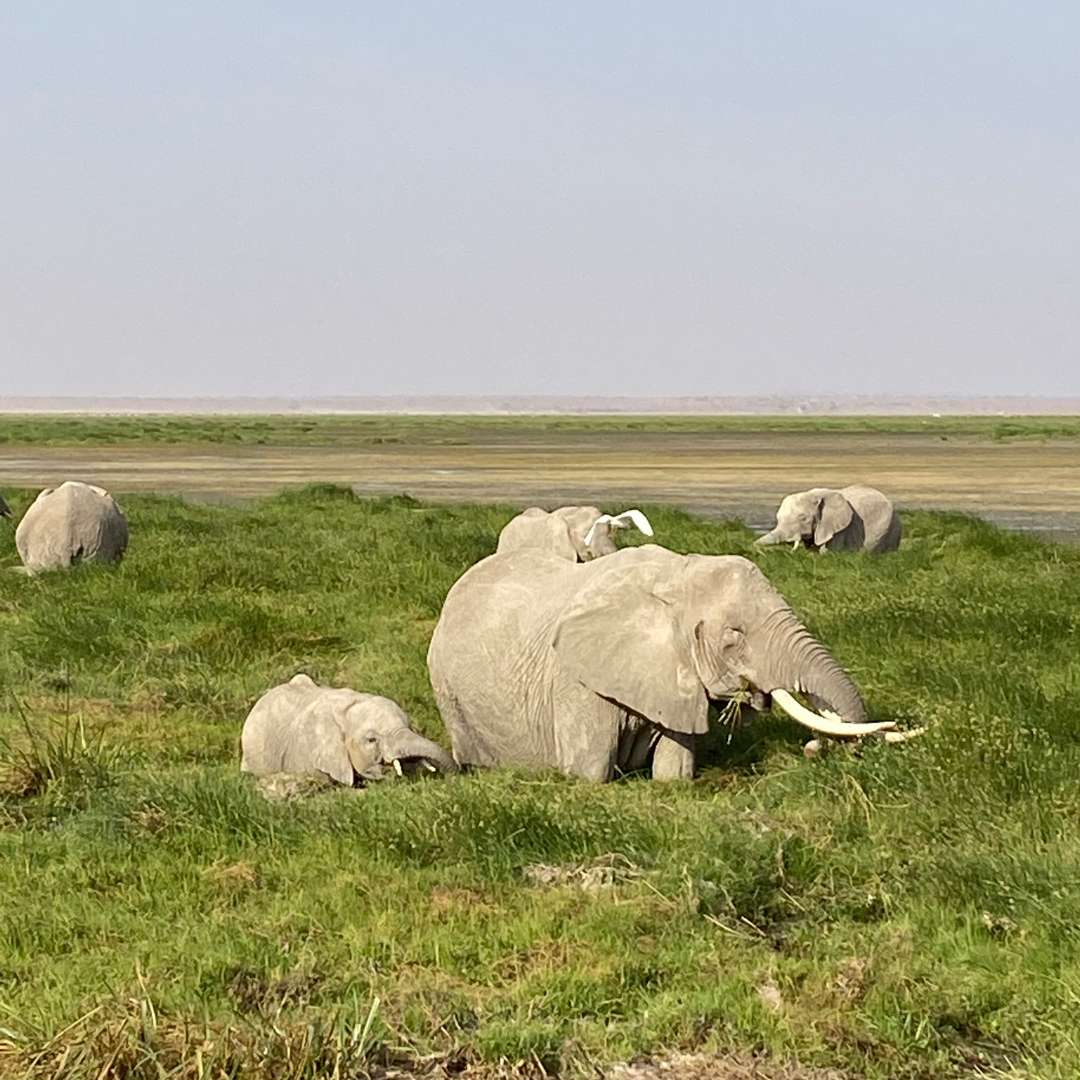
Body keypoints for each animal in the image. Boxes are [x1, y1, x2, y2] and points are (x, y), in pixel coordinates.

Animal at [425, 540, 915, 786]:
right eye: (734, 635)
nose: (814, 749)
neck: (676, 577)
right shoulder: (574, 680)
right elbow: (589, 773)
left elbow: (674, 774)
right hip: (448, 689)